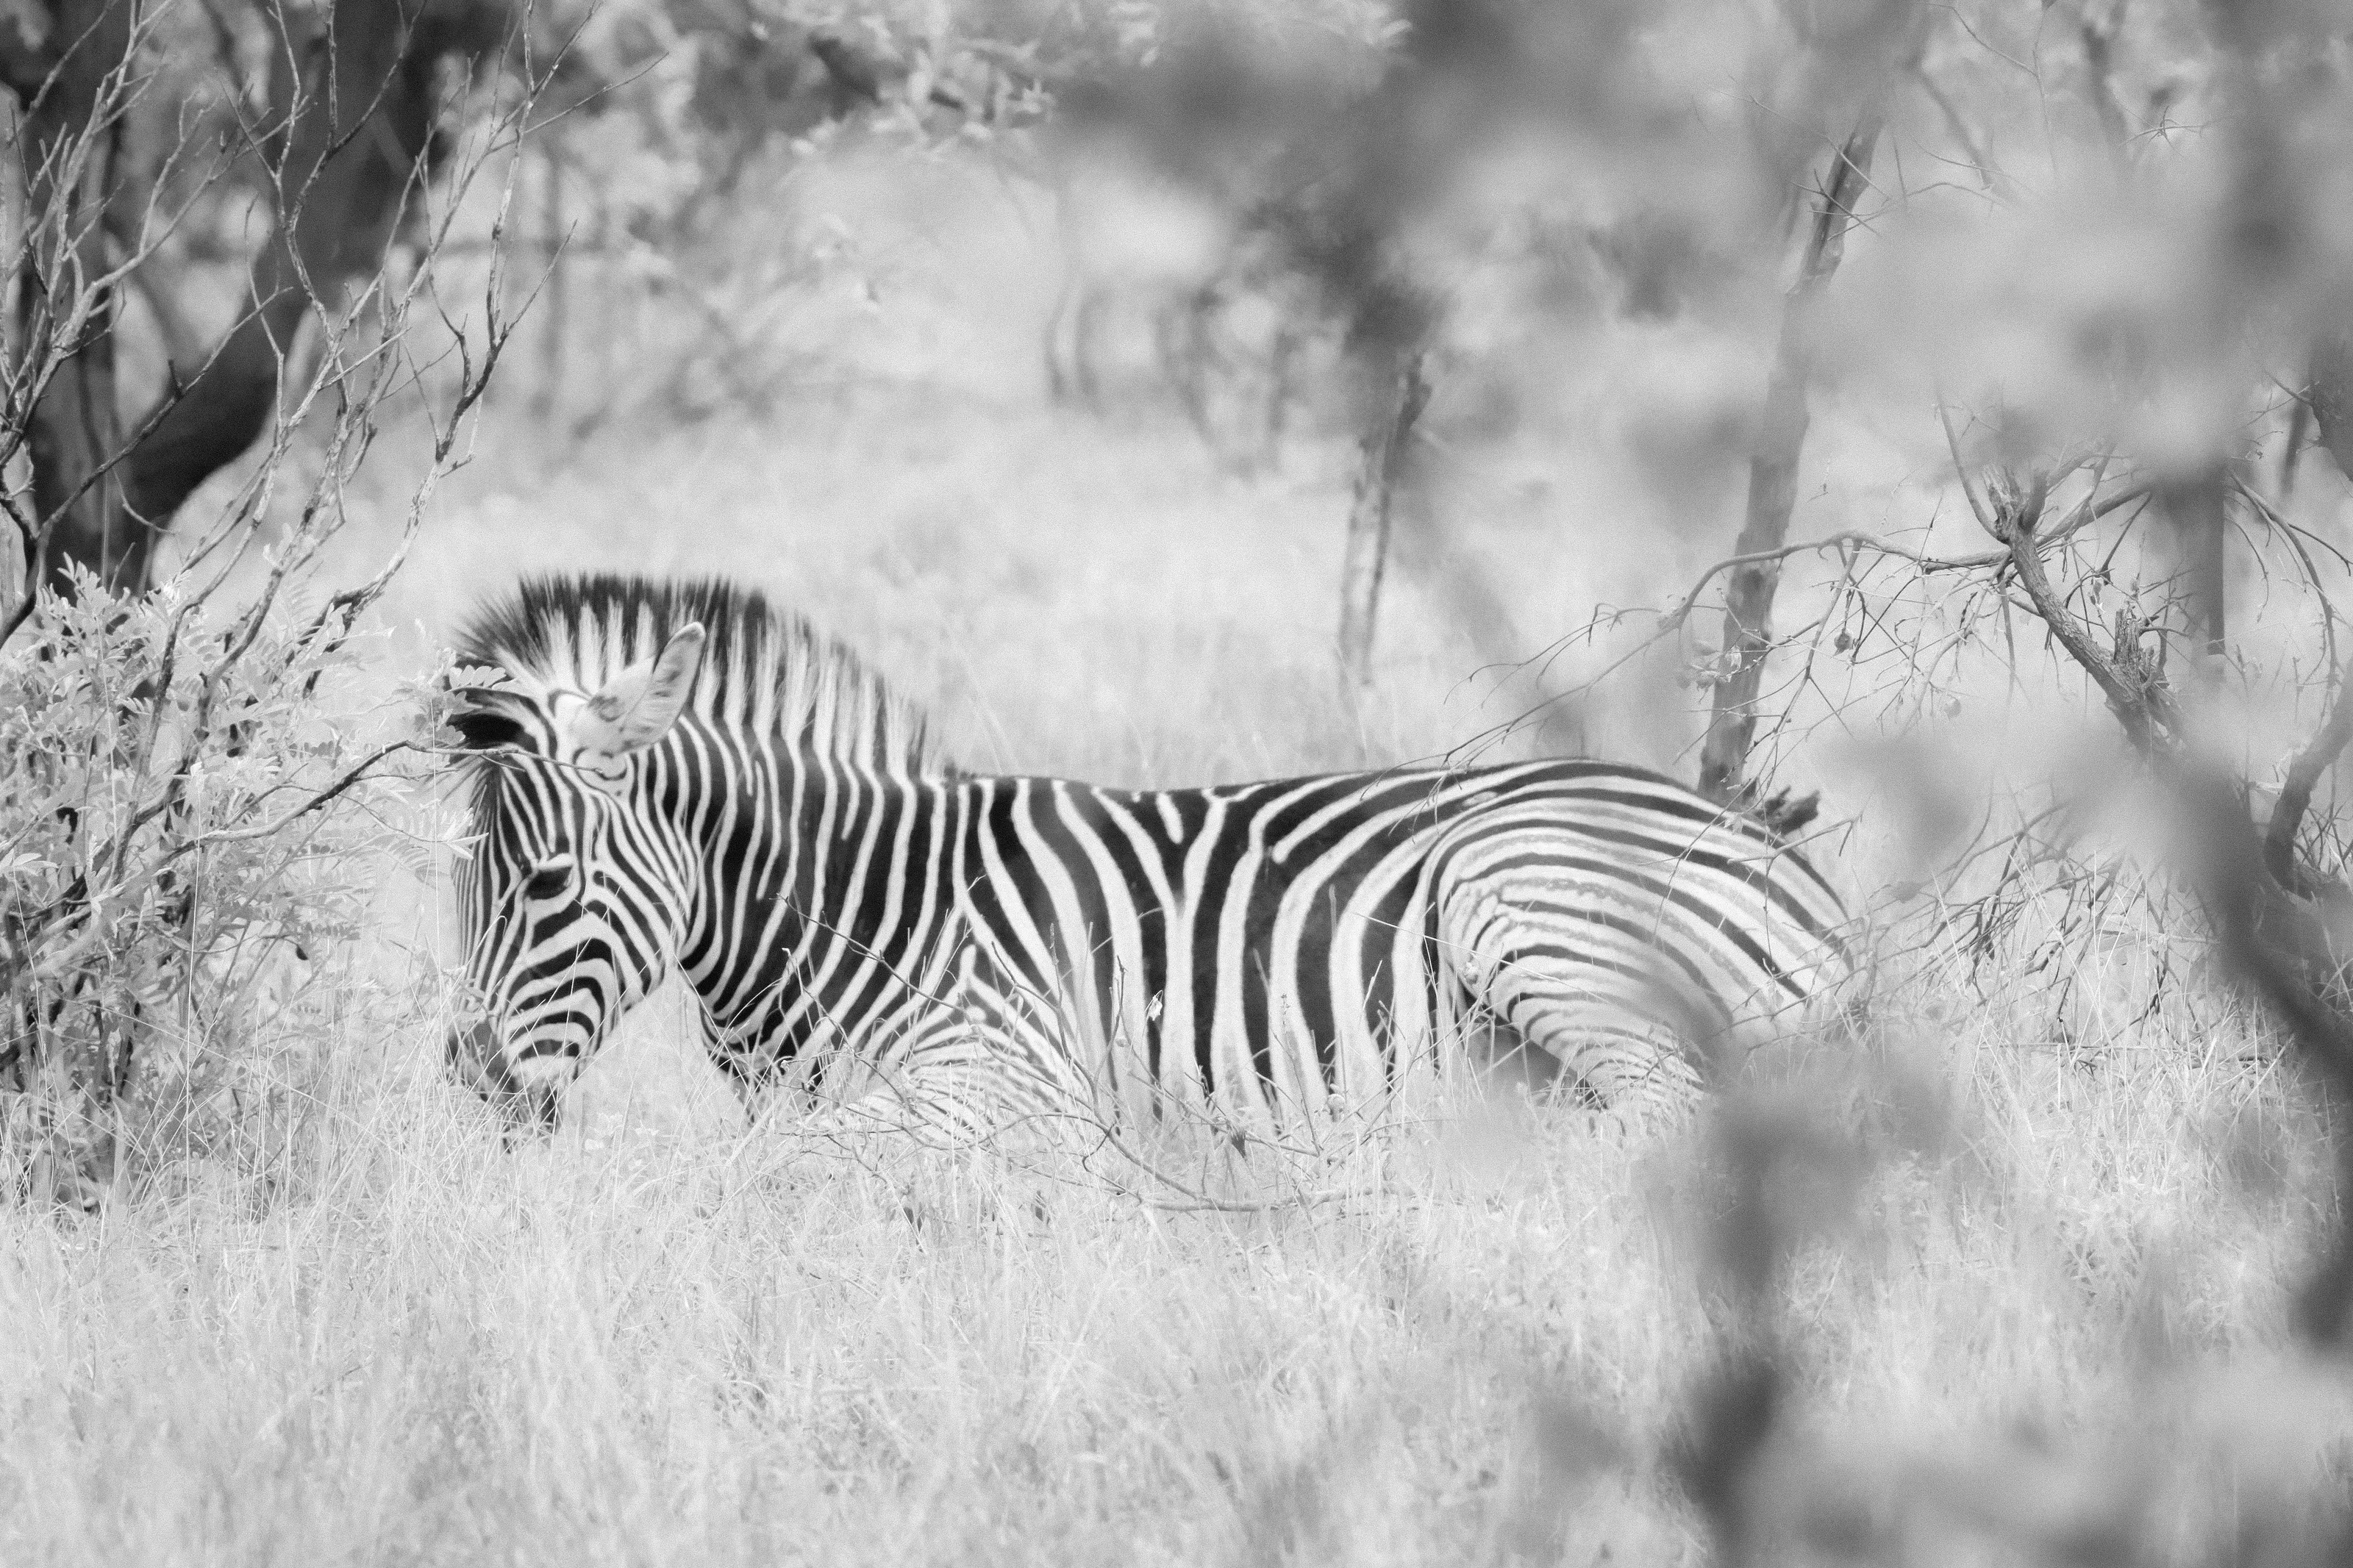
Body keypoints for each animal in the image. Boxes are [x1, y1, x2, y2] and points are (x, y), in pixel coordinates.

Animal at [442, 575, 1853, 1140]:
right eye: (458, 885)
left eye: (547, 884)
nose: (469, 1085)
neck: (867, 905)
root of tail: (1784, 859)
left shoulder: (1013, 1074)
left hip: (1517, 899)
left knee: (1665, 1124)